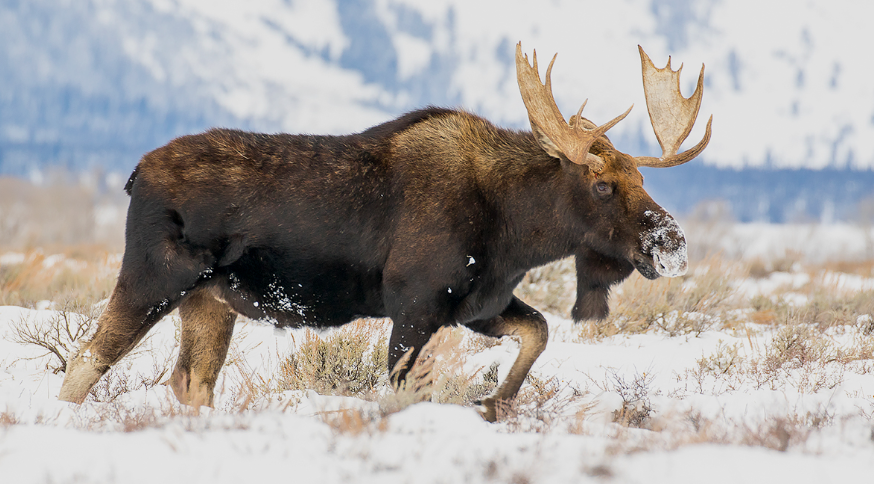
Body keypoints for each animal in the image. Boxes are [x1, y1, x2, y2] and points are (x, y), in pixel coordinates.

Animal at [59, 43, 711, 422]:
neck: (516, 232)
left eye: (640, 177)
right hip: (156, 275)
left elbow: (539, 332)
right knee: (85, 362)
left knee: (190, 381)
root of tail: (134, 173)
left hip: (210, 299)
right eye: (601, 185)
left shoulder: (478, 303)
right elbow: (403, 392)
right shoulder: (416, 304)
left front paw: (493, 401)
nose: (672, 244)